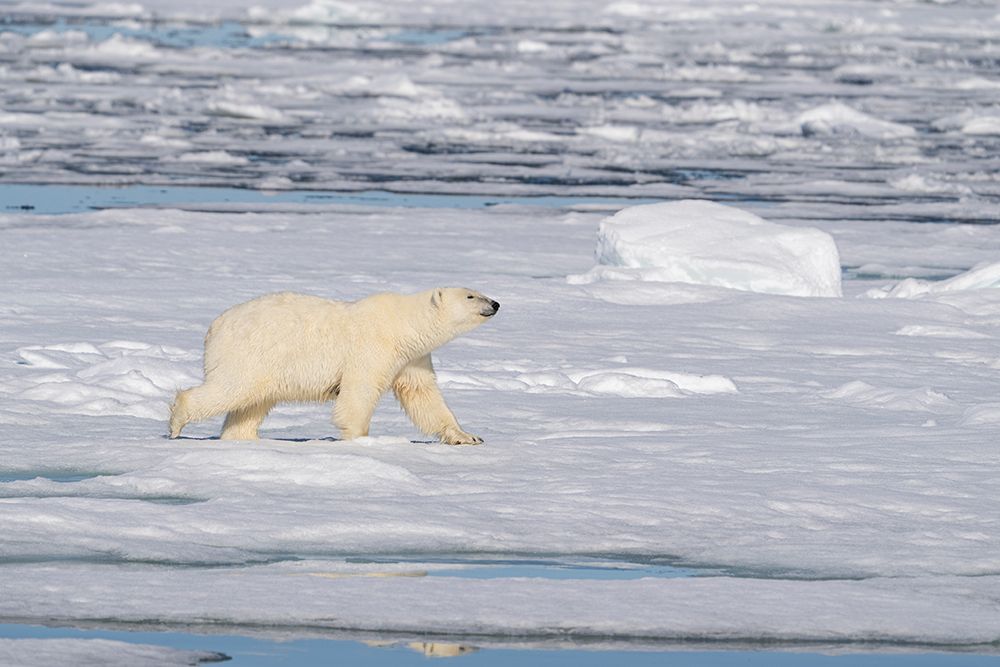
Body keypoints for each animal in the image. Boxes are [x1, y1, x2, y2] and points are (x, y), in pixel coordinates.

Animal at [168, 288, 499, 444]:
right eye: (470, 295)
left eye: (478, 291)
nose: (495, 303)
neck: (403, 324)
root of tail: (214, 326)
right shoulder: (373, 346)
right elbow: (359, 390)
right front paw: (359, 436)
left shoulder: (412, 357)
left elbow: (423, 395)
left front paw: (467, 436)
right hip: (249, 352)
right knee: (232, 389)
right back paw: (176, 422)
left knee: (253, 402)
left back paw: (244, 437)